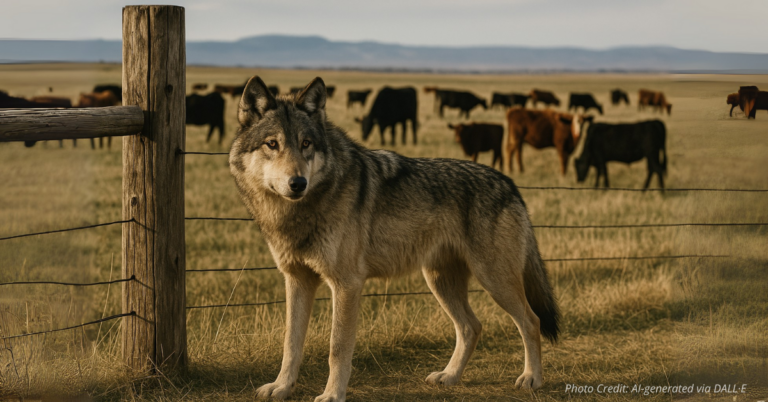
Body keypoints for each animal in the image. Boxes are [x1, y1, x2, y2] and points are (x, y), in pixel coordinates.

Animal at [229, 76, 560, 402]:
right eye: (272, 144)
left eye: (306, 144)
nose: (298, 183)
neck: (300, 212)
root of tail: (510, 184)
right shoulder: (297, 280)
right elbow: (291, 343)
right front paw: (281, 387)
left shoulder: (347, 284)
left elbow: (337, 349)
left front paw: (332, 394)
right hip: (440, 282)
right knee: (471, 327)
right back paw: (450, 376)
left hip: (494, 280)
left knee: (531, 321)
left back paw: (531, 378)